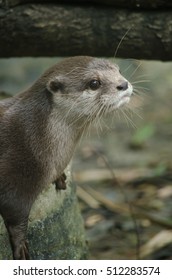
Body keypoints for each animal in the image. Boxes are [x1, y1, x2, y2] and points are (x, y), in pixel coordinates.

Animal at [0, 55, 133, 260]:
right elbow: (16, 215)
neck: (35, 136)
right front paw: (20, 245)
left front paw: (59, 176)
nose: (123, 84)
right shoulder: (15, 178)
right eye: (94, 83)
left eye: (118, 70)